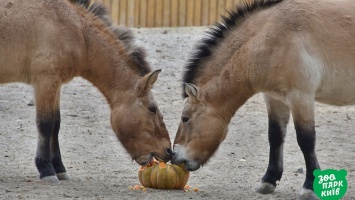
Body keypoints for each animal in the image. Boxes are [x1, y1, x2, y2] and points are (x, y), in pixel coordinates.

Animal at [0, 0, 172, 184]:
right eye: (152, 109)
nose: (169, 151)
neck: (77, 31)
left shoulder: (56, 85)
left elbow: (56, 124)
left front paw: (59, 169)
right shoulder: (45, 82)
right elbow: (46, 124)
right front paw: (46, 169)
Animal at [172, 0, 355, 198]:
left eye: (185, 118)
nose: (174, 156)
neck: (269, 37)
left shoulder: (301, 97)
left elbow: (306, 140)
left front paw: (309, 187)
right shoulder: (275, 98)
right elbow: (275, 136)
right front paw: (268, 180)